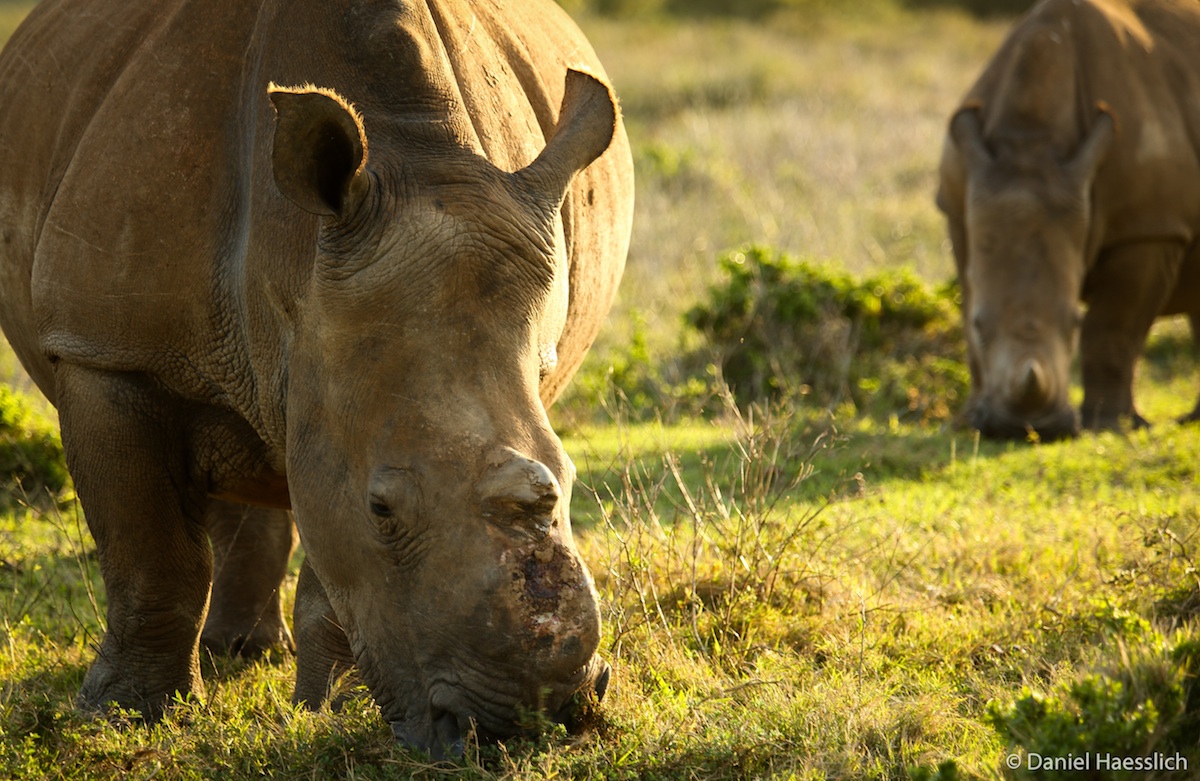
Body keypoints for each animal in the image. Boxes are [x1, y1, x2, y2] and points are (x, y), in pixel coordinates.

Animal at [0, 0, 633, 756]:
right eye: (382, 508)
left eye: (570, 480)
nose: (531, 723)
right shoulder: (107, 352)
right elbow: (150, 552)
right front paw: (124, 716)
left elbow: (330, 556)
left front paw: (322, 709)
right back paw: (228, 655)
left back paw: (249, 652)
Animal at [936, 0, 1200, 440]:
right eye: (979, 325)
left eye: (1073, 322)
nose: (1023, 428)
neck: (1031, 142)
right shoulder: (958, 207)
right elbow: (969, 301)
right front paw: (970, 420)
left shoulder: (1148, 226)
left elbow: (1111, 329)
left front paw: (1108, 426)